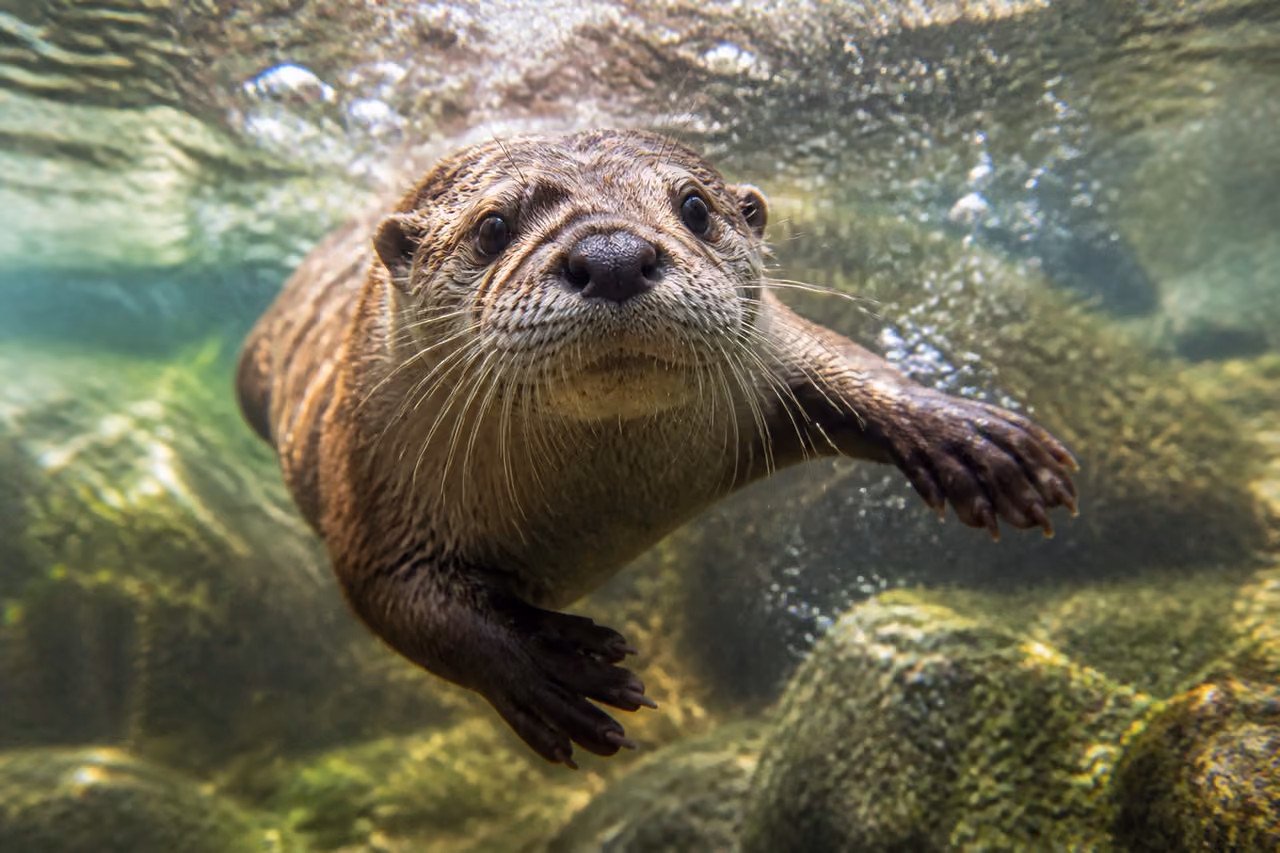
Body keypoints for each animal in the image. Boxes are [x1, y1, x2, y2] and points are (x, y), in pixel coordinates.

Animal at [236, 130, 1079, 767]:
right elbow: (396, 594)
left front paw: (974, 441)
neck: (603, 500)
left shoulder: (773, 353)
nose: (610, 254)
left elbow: (851, 366)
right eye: (493, 228)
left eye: (696, 207)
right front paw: (546, 667)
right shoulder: (368, 477)